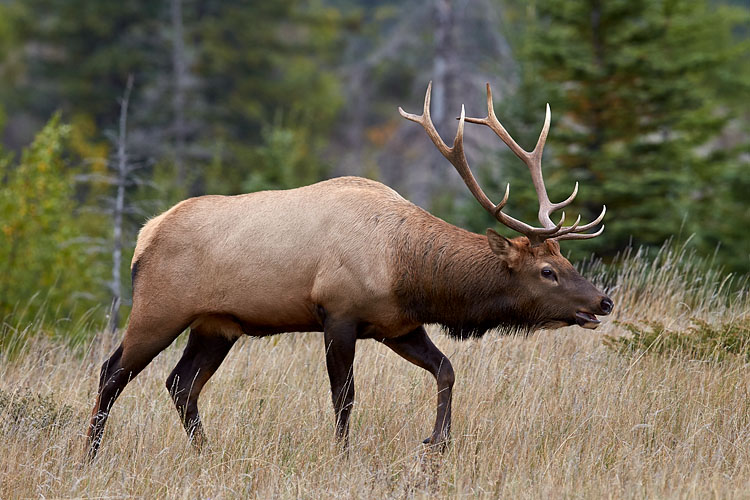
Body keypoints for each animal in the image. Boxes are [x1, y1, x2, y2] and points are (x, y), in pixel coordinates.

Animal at [86, 82, 613, 460]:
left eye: (566, 262)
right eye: (547, 271)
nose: (604, 301)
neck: (407, 269)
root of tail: (145, 236)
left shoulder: (397, 324)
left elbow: (446, 369)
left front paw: (438, 441)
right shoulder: (338, 314)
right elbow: (345, 398)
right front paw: (343, 455)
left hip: (216, 325)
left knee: (180, 384)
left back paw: (206, 453)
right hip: (159, 308)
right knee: (113, 373)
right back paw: (89, 454)